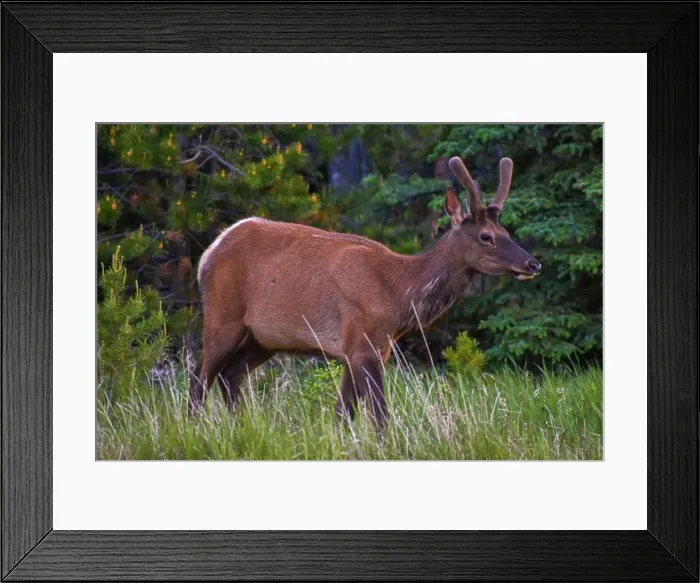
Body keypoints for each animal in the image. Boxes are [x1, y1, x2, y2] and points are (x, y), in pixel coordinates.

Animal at [189, 156, 541, 430]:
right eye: (486, 236)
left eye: (505, 231)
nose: (533, 263)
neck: (399, 296)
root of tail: (208, 253)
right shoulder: (361, 342)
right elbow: (380, 416)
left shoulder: (366, 349)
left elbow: (342, 416)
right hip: (223, 316)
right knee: (198, 380)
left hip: (266, 338)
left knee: (230, 375)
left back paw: (243, 427)